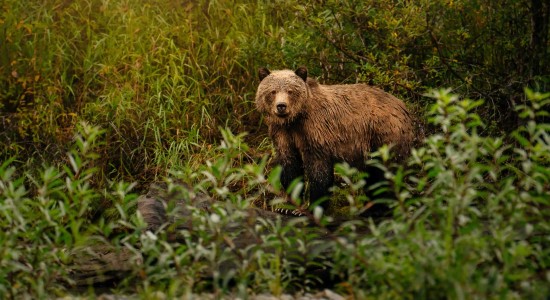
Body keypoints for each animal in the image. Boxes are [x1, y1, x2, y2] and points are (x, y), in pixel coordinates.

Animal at [256, 66, 416, 210]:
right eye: (273, 91)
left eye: (290, 91)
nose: (281, 106)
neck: (295, 119)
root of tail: (404, 106)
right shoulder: (282, 133)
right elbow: (290, 166)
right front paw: (288, 207)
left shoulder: (315, 132)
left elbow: (319, 171)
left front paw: (314, 206)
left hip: (383, 134)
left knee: (387, 171)